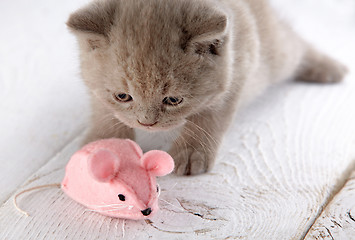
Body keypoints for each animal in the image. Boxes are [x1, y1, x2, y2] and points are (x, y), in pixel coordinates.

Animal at [67, 0, 348, 174]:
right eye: (123, 96)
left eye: (173, 100)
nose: (147, 123)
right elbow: (103, 110)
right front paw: (104, 145)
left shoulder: (239, 67)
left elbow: (210, 117)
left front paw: (192, 152)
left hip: (276, 54)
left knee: (296, 44)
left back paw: (329, 68)